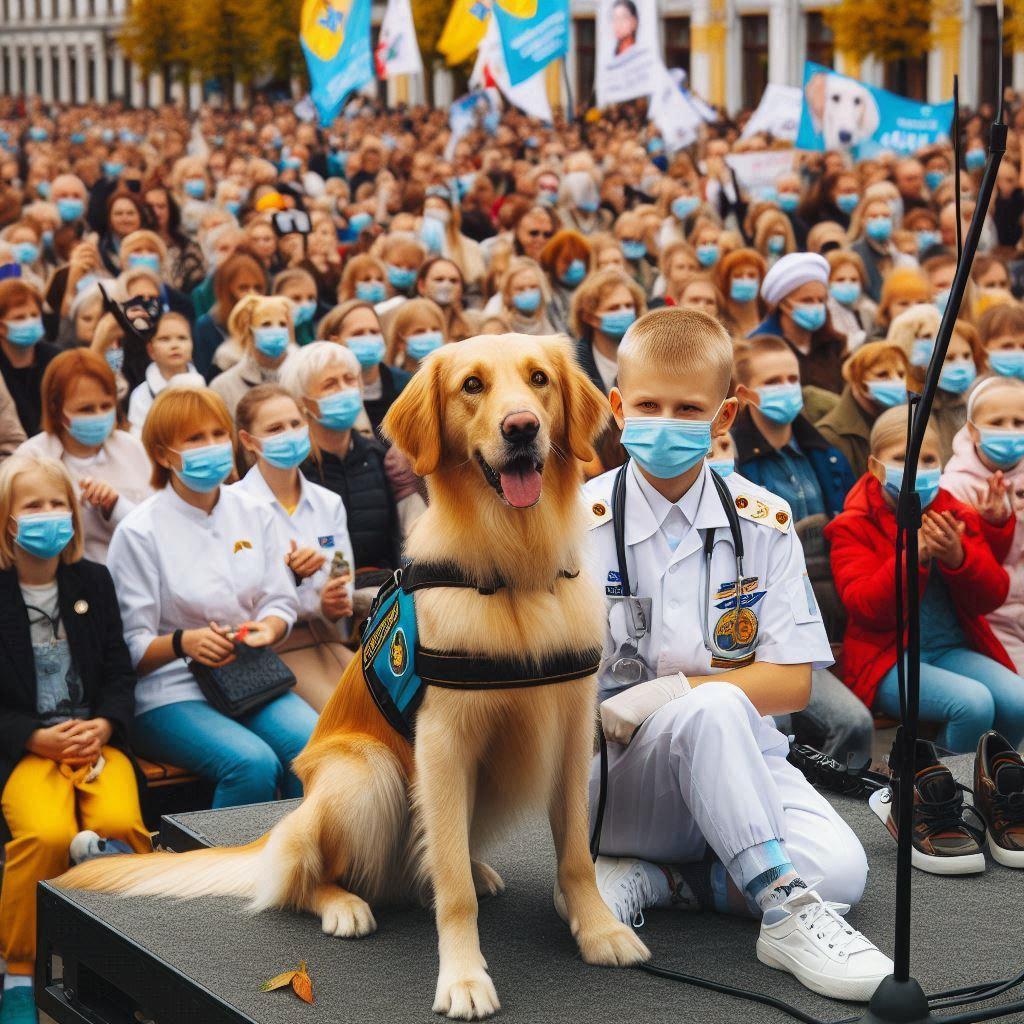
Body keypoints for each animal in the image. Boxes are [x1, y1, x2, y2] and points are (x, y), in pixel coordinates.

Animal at [58, 333, 647, 1015]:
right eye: (472, 385)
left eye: (539, 379)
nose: (522, 427)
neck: (512, 568)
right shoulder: (442, 743)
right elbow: (452, 890)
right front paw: (464, 977)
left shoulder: (574, 732)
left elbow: (576, 852)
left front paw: (600, 932)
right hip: (368, 775)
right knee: (305, 877)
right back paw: (344, 904)